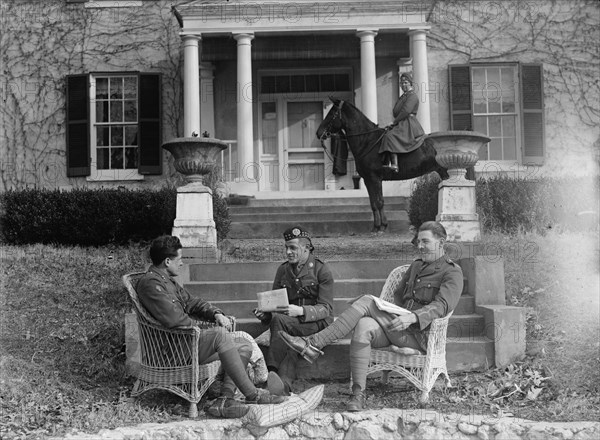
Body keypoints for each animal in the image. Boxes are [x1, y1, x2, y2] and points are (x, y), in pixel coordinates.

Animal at [316, 97, 448, 232]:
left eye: (332, 114)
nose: (318, 133)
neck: (368, 141)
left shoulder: (375, 178)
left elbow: (379, 202)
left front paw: (382, 226)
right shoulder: (368, 179)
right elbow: (373, 203)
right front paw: (376, 226)